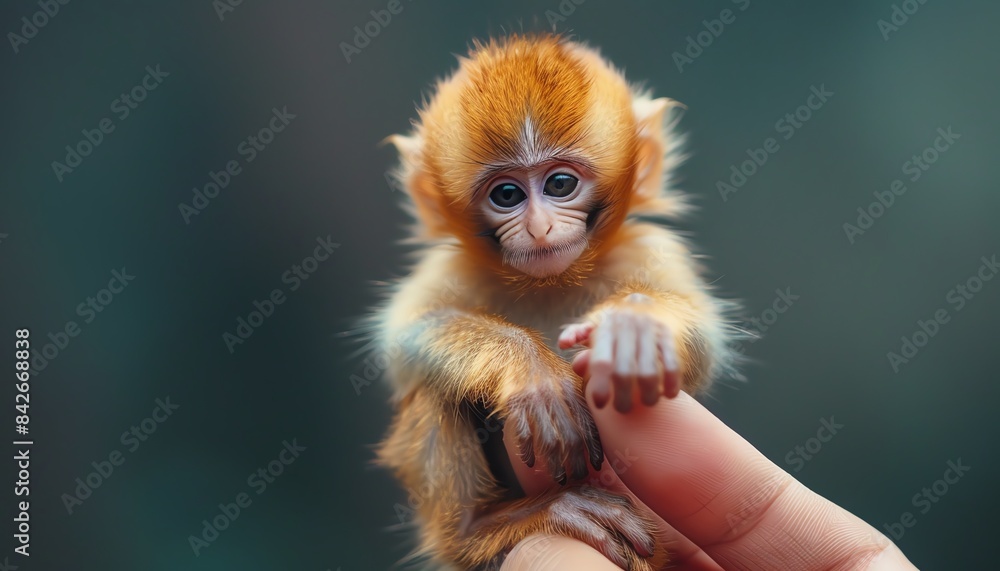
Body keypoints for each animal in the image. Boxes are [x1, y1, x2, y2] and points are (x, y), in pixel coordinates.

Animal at [370, 34, 738, 570]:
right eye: (506, 194)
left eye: (560, 184)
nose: (540, 227)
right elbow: (405, 337)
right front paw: (532, 370)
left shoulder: (649, 248)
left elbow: (704, 343)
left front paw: (632, 329)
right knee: (435, 388)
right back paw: (491, 525)